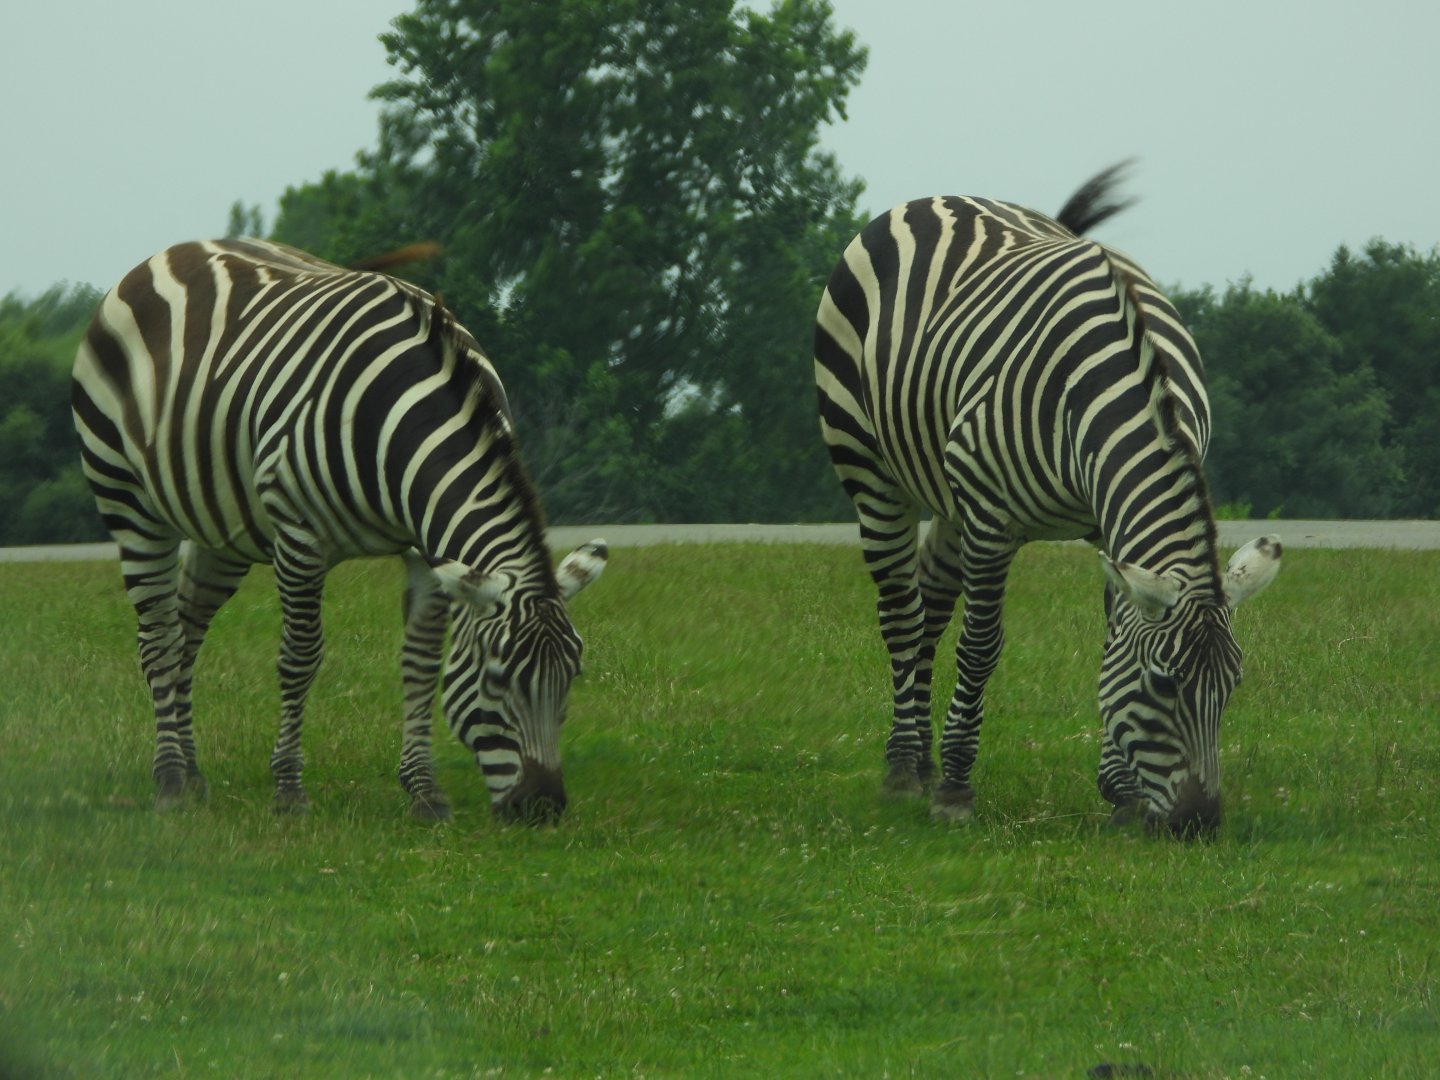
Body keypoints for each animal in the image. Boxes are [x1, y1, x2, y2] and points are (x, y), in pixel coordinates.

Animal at [71, 238, 606, 822]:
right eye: (497, 678)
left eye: (573, 675)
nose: (543, 809)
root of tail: (174, 250)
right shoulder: (299, 535)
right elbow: (300, 659)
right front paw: (288, 790)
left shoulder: (425, 547)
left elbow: (421, 662)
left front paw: (423, 790)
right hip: (129, 501)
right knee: (159, 641)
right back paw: (169, 781)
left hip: (222, 529)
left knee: (185, 631)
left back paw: (191, 775)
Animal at [813, 164, 1281, 835]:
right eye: (1164, 684)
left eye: (1233, 686)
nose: (1198, 824)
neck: (1109, 389)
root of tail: (947, 196)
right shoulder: (991, 519)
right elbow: (981, 648)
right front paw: (955, 789)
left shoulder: (1109, 526)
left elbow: (1113, 642)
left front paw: (1120, 791)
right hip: (869, 466)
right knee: (901, 613)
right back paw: (904, 770)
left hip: (949, 494)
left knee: (930, 602)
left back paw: (918, 759)